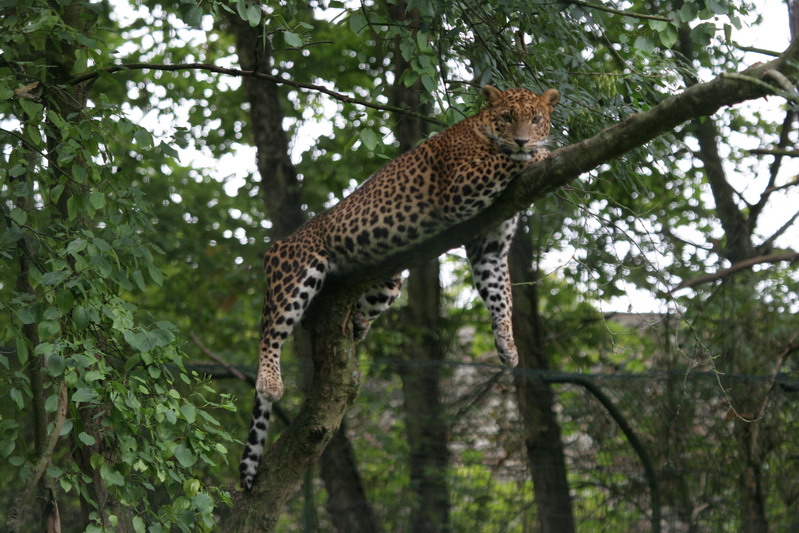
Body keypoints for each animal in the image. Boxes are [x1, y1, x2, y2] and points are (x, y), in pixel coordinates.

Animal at [241, 85, 560, 488]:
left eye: (535, 119)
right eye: (507, 117)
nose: (522, 138)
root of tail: (278, 245)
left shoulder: (489, 248)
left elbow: (501, 297)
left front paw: (507, 345)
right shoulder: (462, 185)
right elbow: (503, 160)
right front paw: (536, 153)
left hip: (390, 283)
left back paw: (358, 323)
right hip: (295, 271)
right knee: (271, 331)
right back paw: (270, 380)